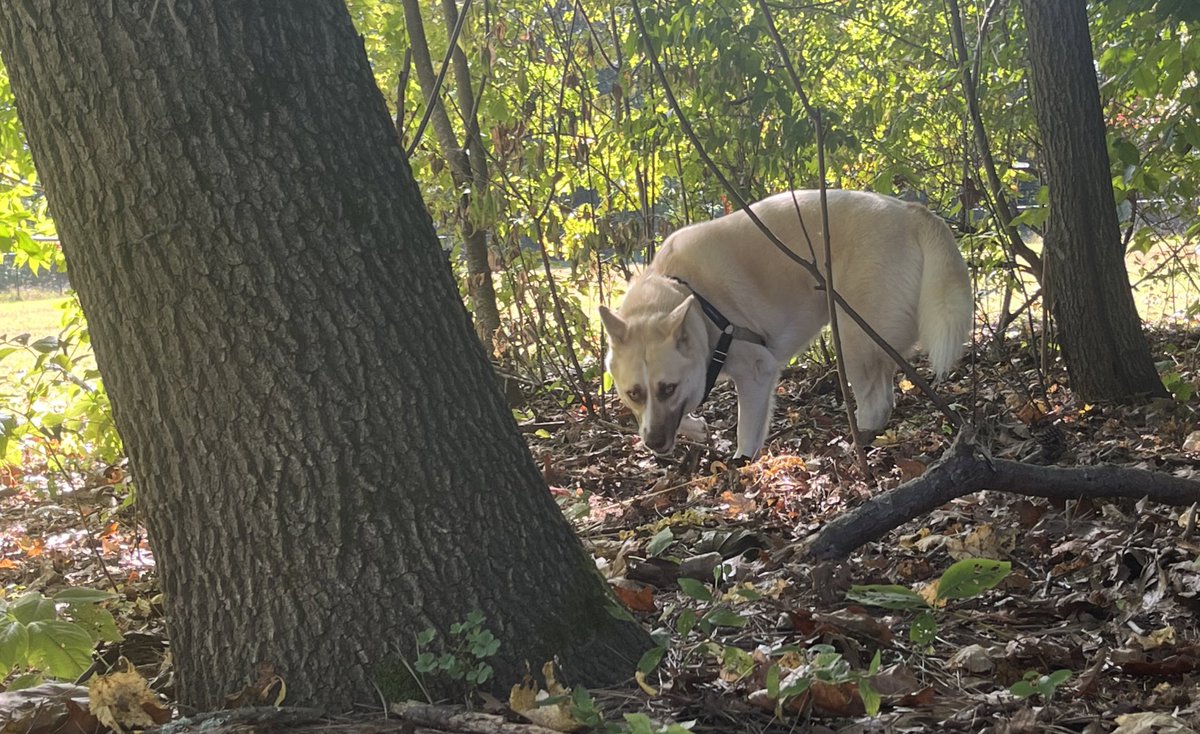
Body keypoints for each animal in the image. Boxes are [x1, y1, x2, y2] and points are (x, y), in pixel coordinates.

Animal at [598, 189, 972, 460]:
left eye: (668, 388)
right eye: (634, 393)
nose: (652, 444)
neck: (687, 292)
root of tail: (911, 212)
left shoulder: (756, 371)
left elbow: (745, 432)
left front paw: (741, 464)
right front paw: (697, 427)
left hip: (853, 338)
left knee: (876, 403)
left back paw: (859, 442)